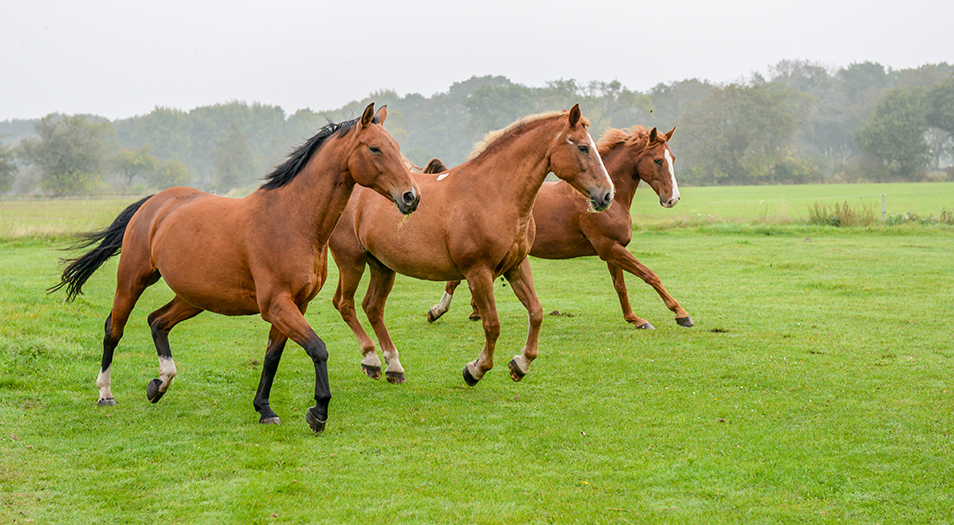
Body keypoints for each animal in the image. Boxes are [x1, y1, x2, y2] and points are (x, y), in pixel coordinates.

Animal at [50, 104, 418, 432]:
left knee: (157, 321)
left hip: (194, 297)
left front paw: (264, 409)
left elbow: (272, 357)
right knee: (114, 329)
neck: (292, 220)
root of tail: (154, 202)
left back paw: (160, 383)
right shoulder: (277, 305)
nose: (411, 197)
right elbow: (318, 349)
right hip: (132, 280)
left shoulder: (295, 305)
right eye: (375, 148)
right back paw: (105, 394)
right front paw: (319, 412)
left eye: (397, 148)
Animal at [326, 104, 608, 384]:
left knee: (372, 307)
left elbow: (536, 312)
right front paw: (476, 369)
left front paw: (521, 364)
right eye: (583, 147)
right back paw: (371, 358)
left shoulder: (516, 266)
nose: (607, 194)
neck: (493, 194)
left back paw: (393, 366)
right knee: (345, 304)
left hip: (382, 266)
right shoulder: (478, 272)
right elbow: (492, 324)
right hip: (351, 262)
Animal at [426, 124, 692, 328]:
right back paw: (439, 311)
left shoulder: (612, 250)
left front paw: (635, 319)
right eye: (657, 160)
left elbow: (620, 286)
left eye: (672, 159)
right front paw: (681, 314)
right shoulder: (609, 248)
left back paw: (472, 311)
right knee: (456, 281)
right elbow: (649, 275)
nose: (673, 199)